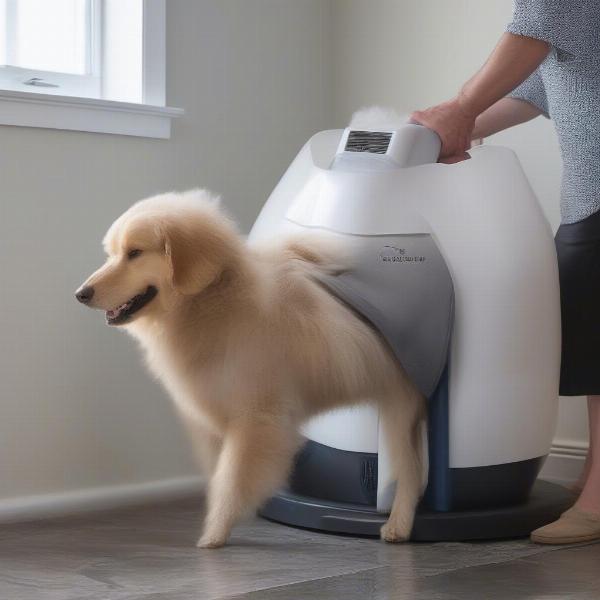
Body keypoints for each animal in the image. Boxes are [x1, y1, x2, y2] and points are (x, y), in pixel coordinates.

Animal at [76, 190, 426, 548]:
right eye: (112, 254)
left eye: (135, 253)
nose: (81, 294)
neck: (213, 304)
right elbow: (219, 476)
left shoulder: (255, 419)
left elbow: (231, 482)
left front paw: (214, 534)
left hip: (401, 409)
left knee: (411, 473)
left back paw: (398, 526)